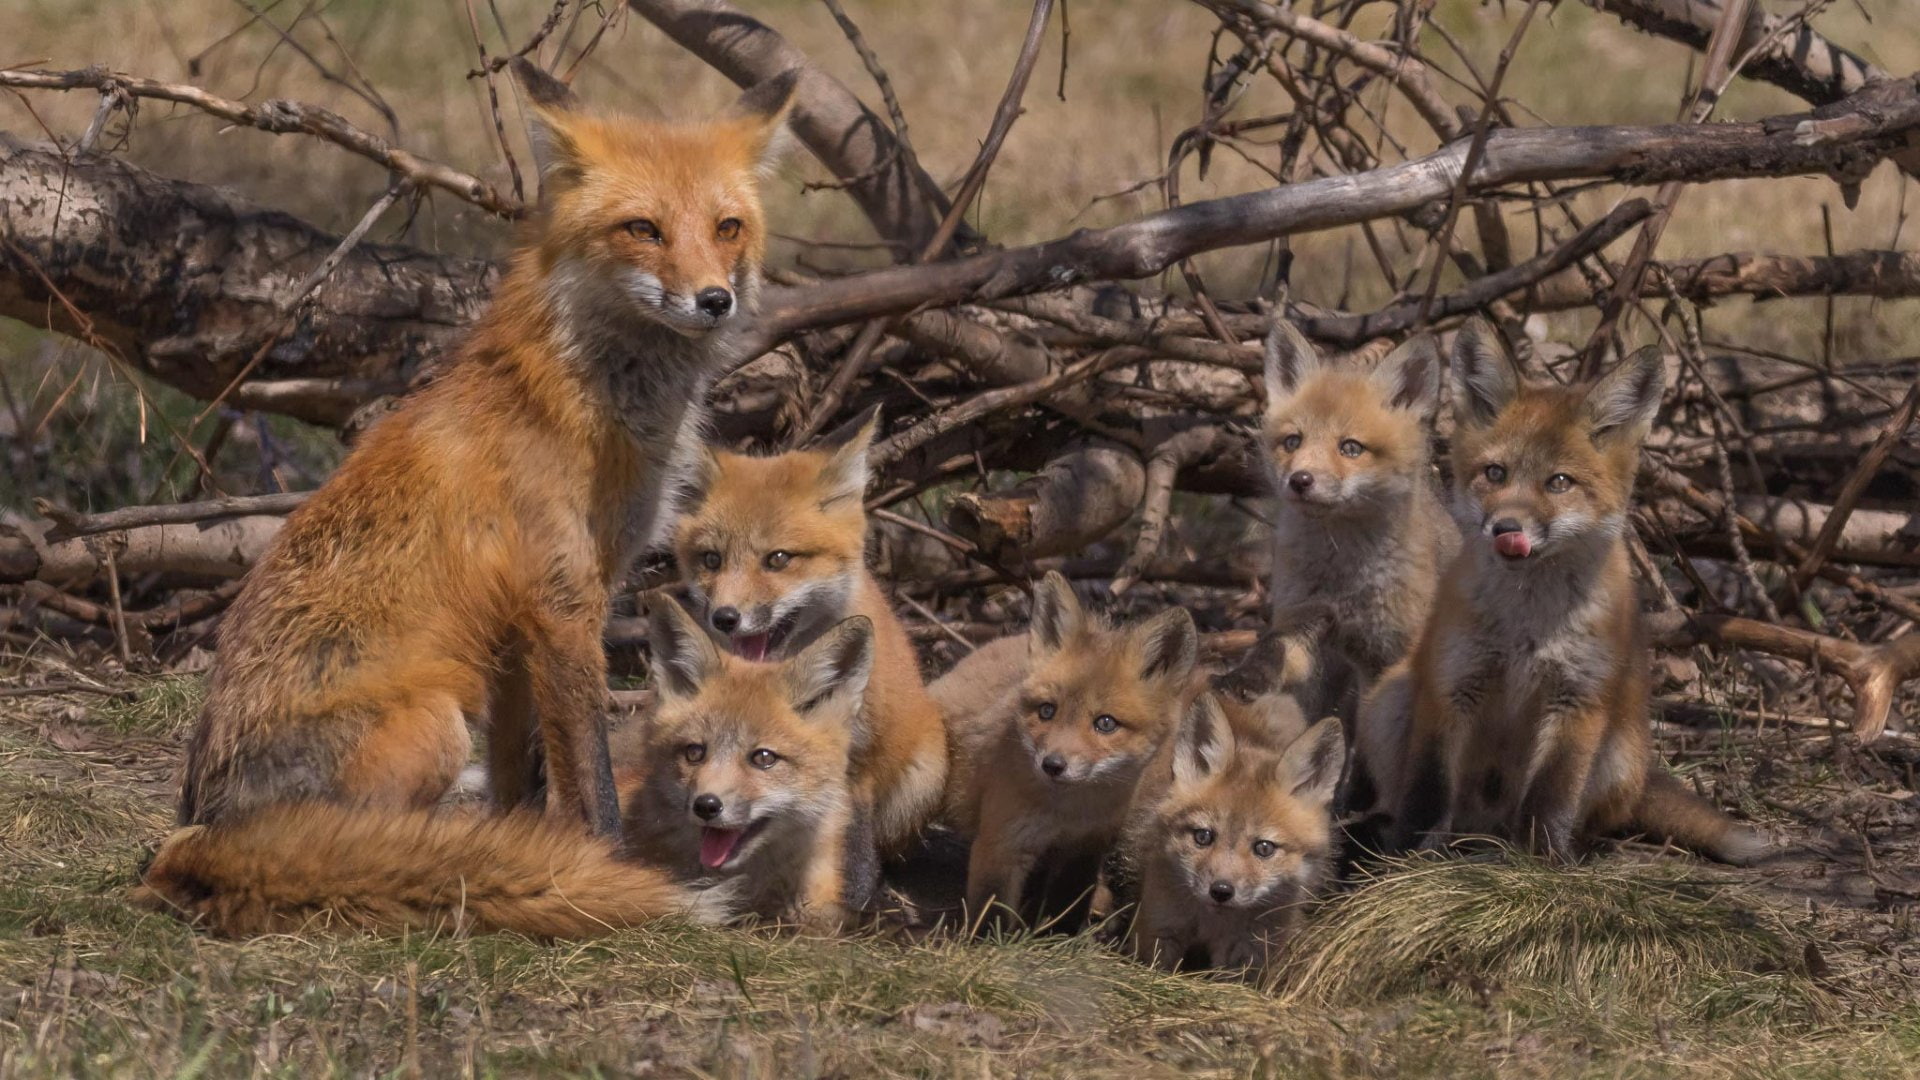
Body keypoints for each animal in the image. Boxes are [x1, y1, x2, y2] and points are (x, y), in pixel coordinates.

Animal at [139, 71, 800, 936]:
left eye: (727, 228)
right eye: (643, 229)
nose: (715, 299)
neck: (589, 402)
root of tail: (201, 829)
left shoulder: (519, 628)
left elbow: (525, 779)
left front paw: (534, 854)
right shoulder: (564, 604)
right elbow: (590, 780)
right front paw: (604, 866)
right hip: (435, 724)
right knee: (370, 837)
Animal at [935, 572, 1198, 931]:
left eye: (1105, 723)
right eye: (1047, 711)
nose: (1052, 764)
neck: (1070, 812)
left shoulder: (1086, 848)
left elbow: (1067, 904)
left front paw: (1057, 934)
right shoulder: (1000, 844)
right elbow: (991, 916)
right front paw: (988, 942)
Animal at [1125, 696, 1343, 975]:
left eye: (1264, 848)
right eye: (1203, 836)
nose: (1220, 891)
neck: (1213, 924)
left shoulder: (1247, 951)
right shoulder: (1160, 926)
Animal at [1261, 319, 1457, 760]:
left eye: (1350, 448)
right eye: (1293, 442)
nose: (1299, 480)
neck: (1344, 579)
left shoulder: (1385, 658)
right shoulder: (1304, 641)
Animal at [1374, 326, 1768, 865]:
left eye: (1559, 482)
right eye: (1495, 474)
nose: (1507, 529)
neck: (1528, 626)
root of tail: (1485, 827)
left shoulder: (1579, 697)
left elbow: (1552, 794)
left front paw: (1543, 865)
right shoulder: (1452, 685)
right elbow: (1427, 788)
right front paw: (1406, 858)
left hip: (1618, 753)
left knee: (1593, 815)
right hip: (1387, 702)